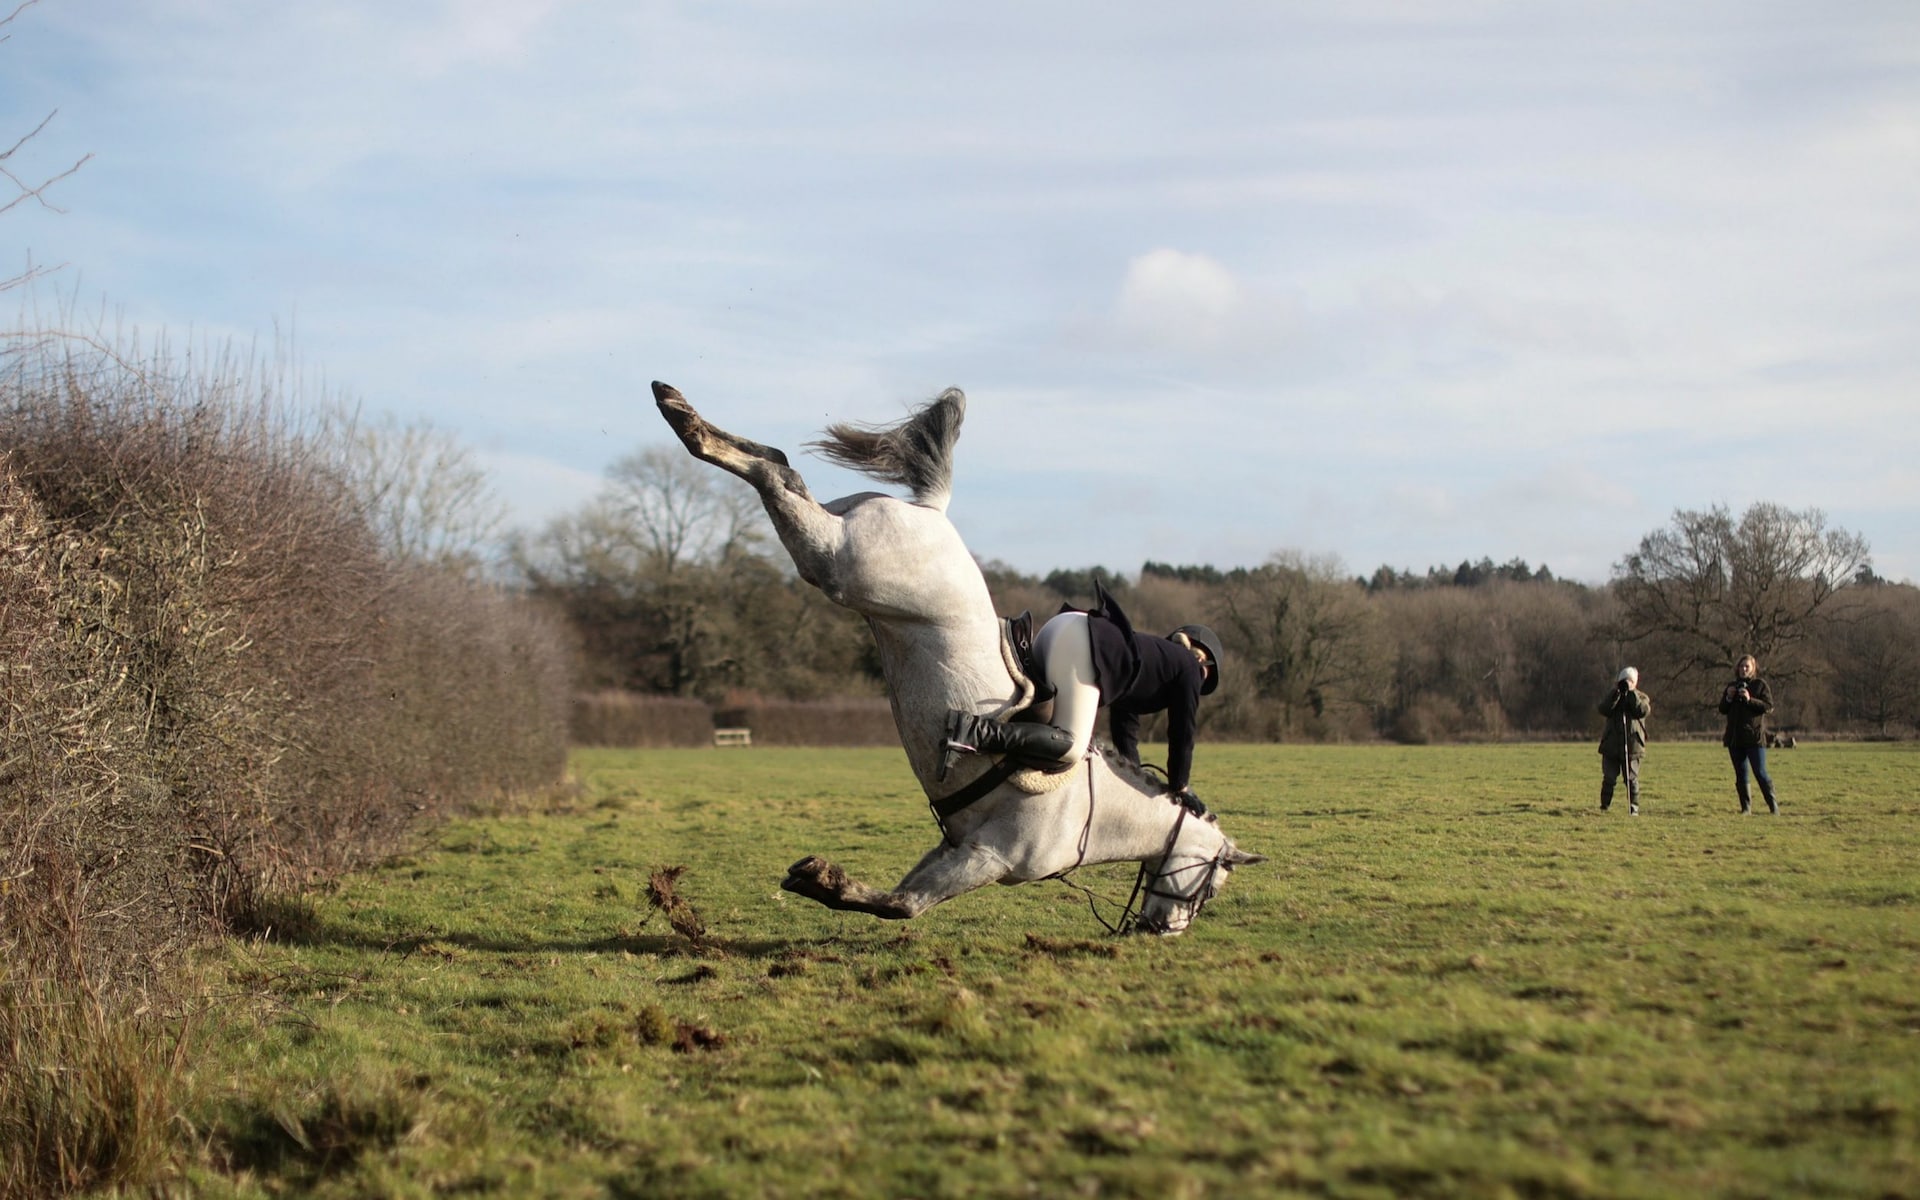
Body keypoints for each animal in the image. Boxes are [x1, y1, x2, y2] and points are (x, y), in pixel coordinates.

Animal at [652, 378, 1267, 933]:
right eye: (1213, 883)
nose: (1164, 930)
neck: (1093, 816)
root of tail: (933, 509)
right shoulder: (986, 858)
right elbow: (902, 906)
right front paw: (820, 879)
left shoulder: (955, 848)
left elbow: (903, 897)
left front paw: (821, 880)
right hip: (840, 565)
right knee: (779, 477)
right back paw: (684, 419)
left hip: (841, 549)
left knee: (780, 464)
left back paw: (679, 407)